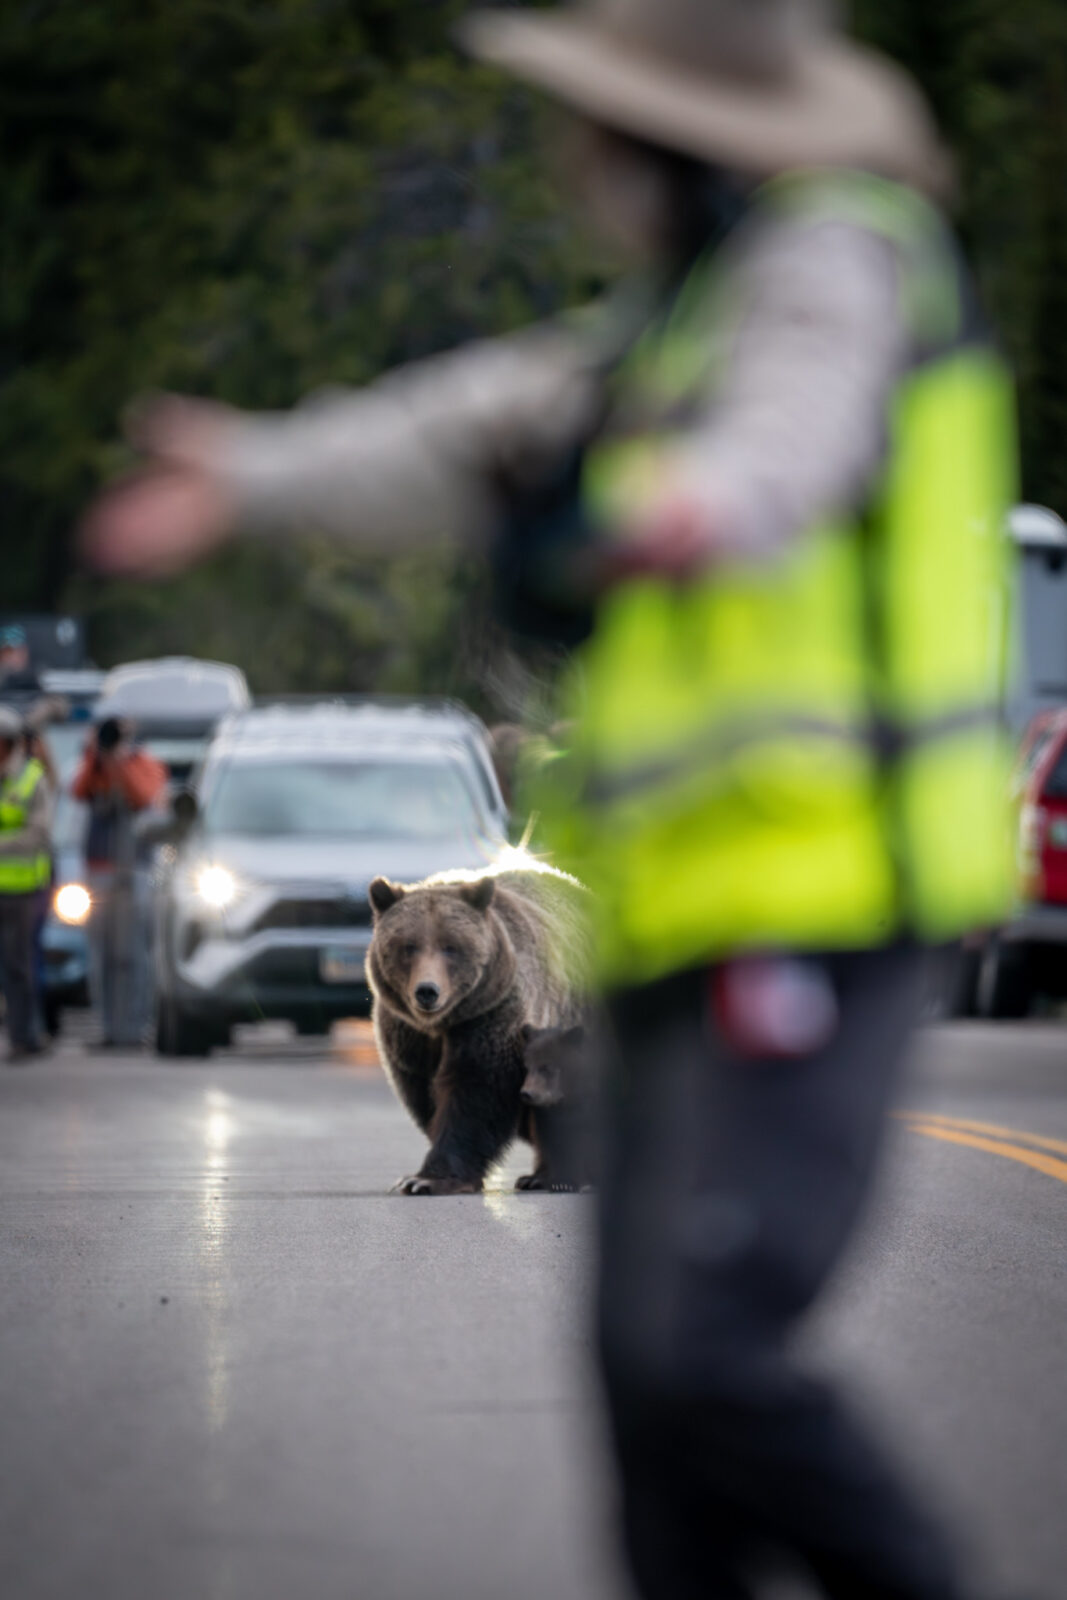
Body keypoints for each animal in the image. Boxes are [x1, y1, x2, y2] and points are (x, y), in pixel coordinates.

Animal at [369, 870, 591, 1196]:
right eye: (409, 946)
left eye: (451, 946)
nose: (427, 992)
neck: (442, 1024)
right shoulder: (408, 1036)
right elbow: (427, 1095)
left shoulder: (492, 1015)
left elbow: (475, 1090)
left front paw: (427, 1179)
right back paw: (538, 1177)